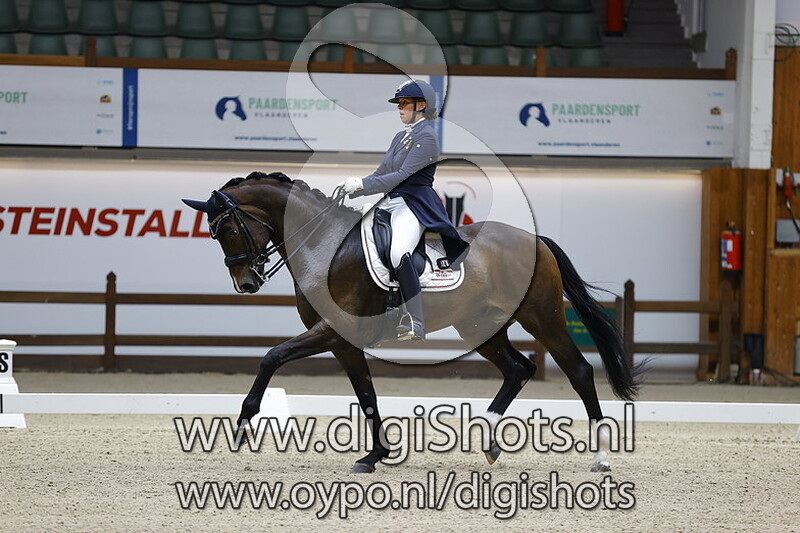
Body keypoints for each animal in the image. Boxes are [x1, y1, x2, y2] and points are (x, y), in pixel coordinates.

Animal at [182, 171, 639, 474]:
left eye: (228, 229)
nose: (246, 283)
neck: (324, 245)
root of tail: (535, 240)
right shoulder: (341, 340)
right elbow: (366, 394)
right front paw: (375, 455)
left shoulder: (329, 330)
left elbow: (271, 357)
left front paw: (243, 427)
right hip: (479, 326)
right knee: (518, 368)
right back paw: (489, 442)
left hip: (543, 317)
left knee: (577, 371)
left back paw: (601, 460)